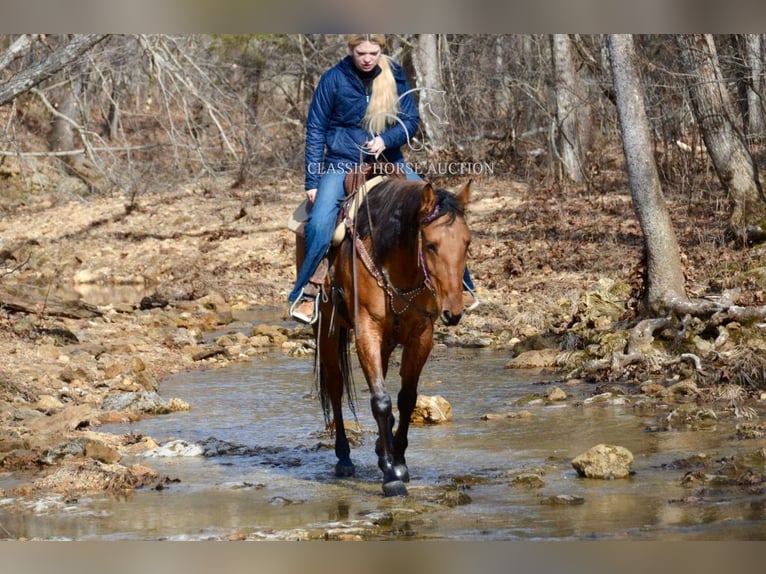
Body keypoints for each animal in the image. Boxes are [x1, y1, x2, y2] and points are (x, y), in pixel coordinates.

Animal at [306, 176, 474, 500]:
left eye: (467, 243)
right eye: (431, 245)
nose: (454, 312)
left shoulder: (421, 335)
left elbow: (407, 399)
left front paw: (399, 461)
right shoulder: (367, 332)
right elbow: (380, 401)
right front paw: (390, 475)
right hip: (329, 329)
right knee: (335, 386)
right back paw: (344, 457)